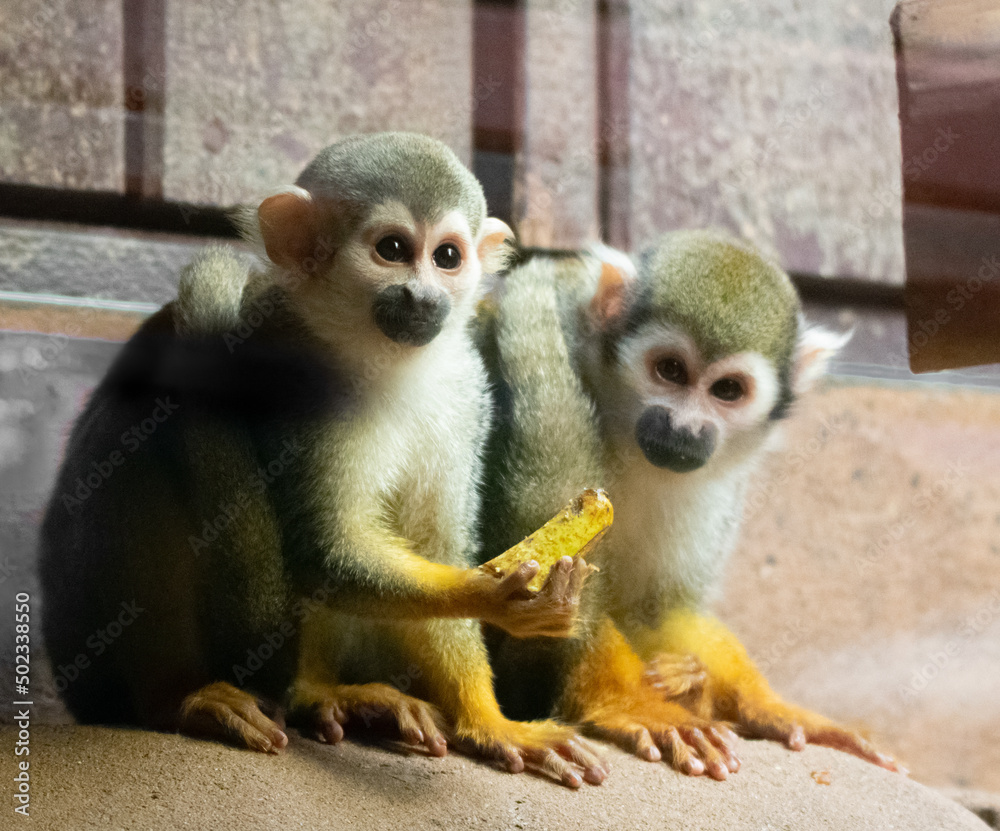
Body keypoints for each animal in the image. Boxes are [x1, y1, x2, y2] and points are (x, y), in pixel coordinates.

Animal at [40, 132, 607, 788]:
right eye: (393, 250)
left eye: (447, 257)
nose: (424, 296)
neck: (375, 354)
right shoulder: (296, 377)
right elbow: (326, 548)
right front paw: (492, 597)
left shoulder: (464, 385)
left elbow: (430, 540)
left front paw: (491, 722)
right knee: (153, 447)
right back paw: (194, 699)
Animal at [474, 230, 902, 780]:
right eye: (671, 370)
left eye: (727, 390)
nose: (683, 427)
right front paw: (632, 703)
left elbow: (662, 608)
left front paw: (749, 697)